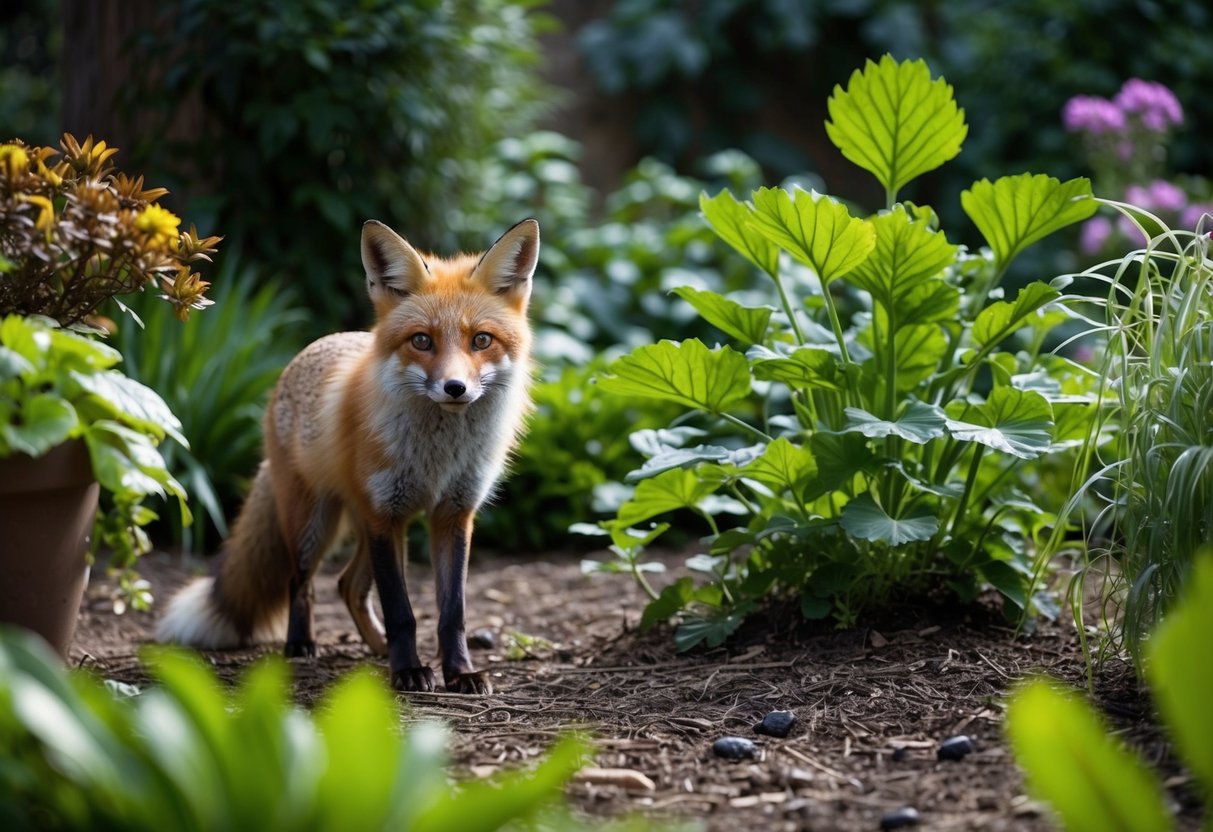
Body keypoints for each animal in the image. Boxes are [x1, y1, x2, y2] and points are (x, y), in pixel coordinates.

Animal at [155, 218, 540, 694]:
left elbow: (453, 613)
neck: (437, 458)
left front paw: (459, 672)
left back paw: (376, 647)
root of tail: (311, 349)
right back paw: (301, 645)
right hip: (316, 524)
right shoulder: (384, 515)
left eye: (481, 340)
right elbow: (401, 610)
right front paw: (408, 671)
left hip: (379, 527)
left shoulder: (452, 515)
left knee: (347, 585)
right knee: (302, 583)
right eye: (422, 341)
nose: (455, 388)